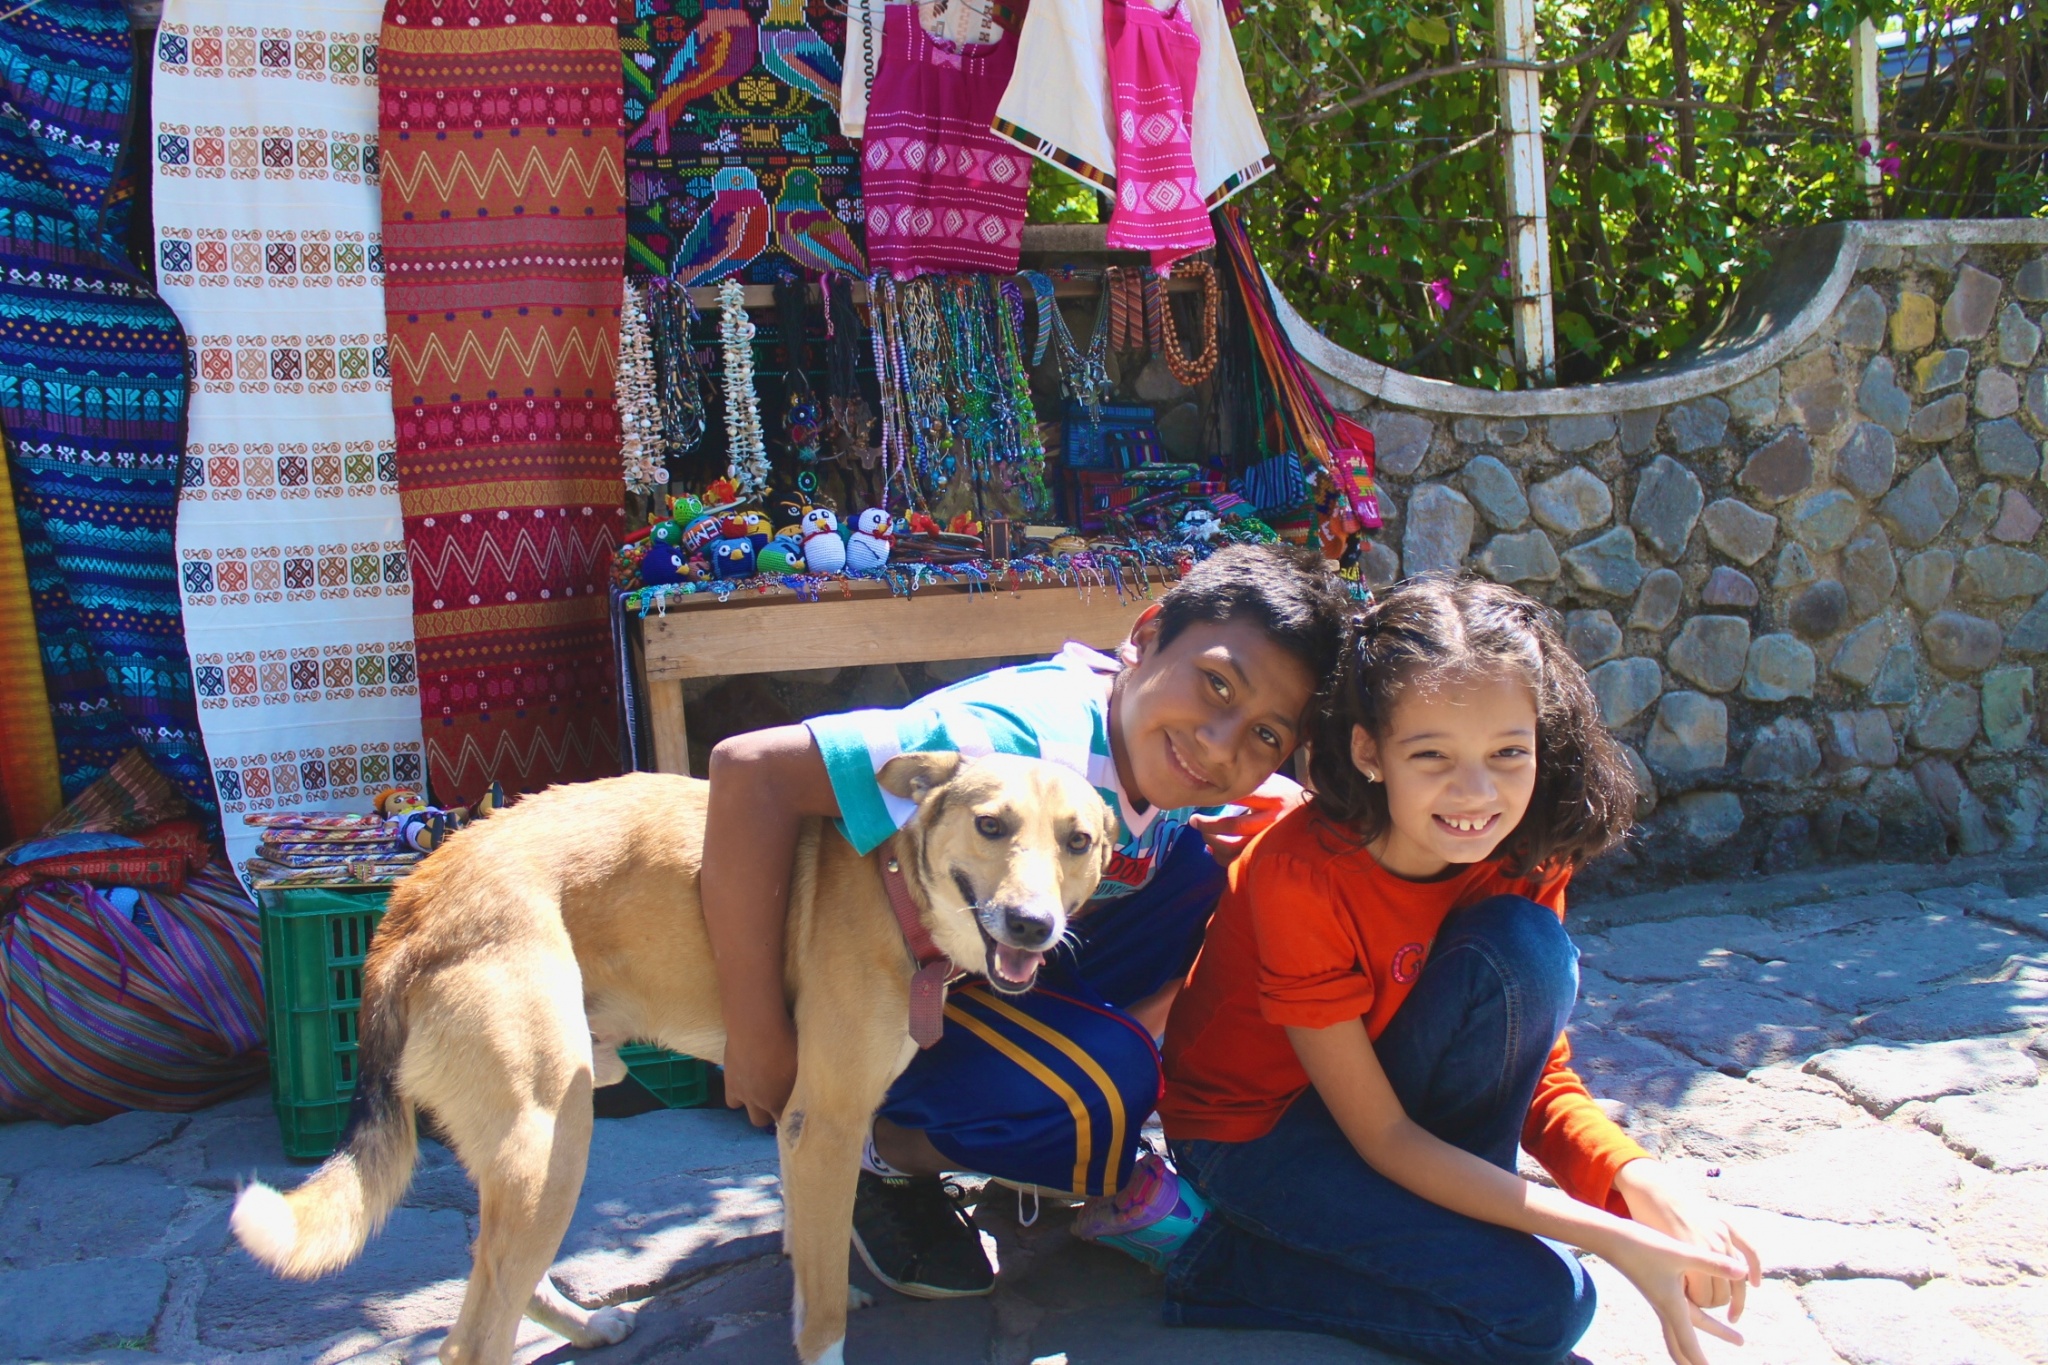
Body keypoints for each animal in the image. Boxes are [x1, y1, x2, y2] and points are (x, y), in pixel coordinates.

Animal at [232, 753, 1114, 1358]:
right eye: (991, 825)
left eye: (1077, 841)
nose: (1033, 924)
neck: (891, 877)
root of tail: (412, 899)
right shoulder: (825, 1124)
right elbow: (823, 1303)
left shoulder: (792, 1120)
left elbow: (808, 1250)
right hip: (554, 1131)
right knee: (471, 1338)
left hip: (528, 1146)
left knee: (496, 1270)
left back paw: (585, 1325)